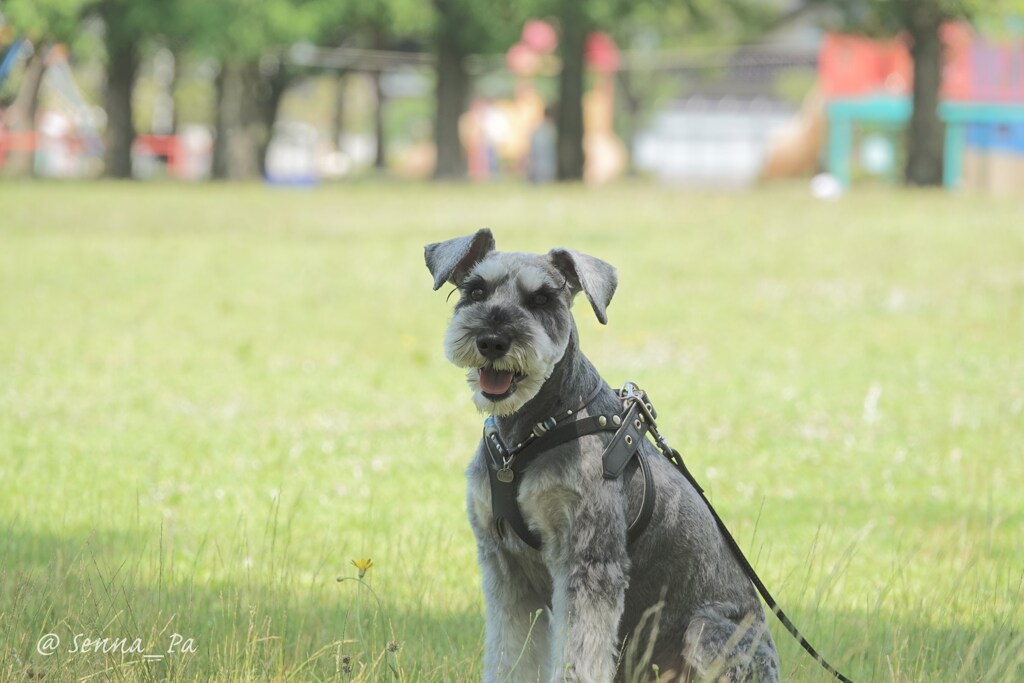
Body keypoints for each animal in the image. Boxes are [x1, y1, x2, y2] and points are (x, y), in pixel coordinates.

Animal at [421, 229, 774, 683]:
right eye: (475, 290)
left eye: (542, 300)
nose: (493, 341)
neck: (528, 436)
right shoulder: (504, 568)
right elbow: (508, 652)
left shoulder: (587, 561)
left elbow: (579, 655)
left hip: (706, 630)